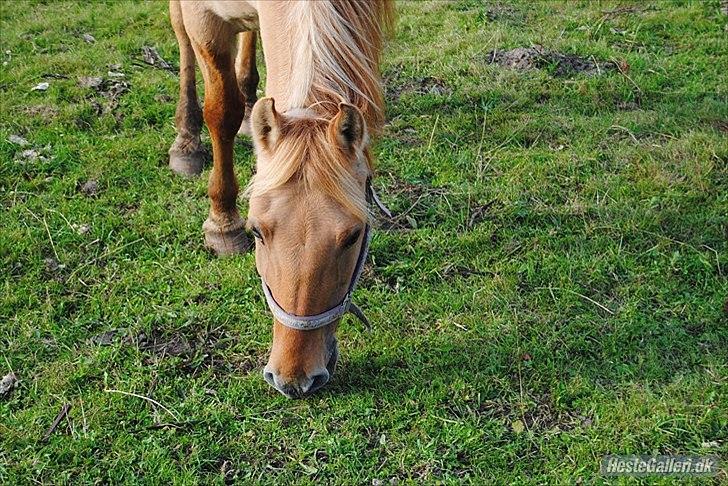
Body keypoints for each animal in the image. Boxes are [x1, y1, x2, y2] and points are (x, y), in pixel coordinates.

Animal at [166, 0, 392, 398]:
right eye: (255, 231)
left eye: (353, 236)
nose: (294, 378)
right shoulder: (203, 21)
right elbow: (221, 111)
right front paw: (223, 224)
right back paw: (186, 141)